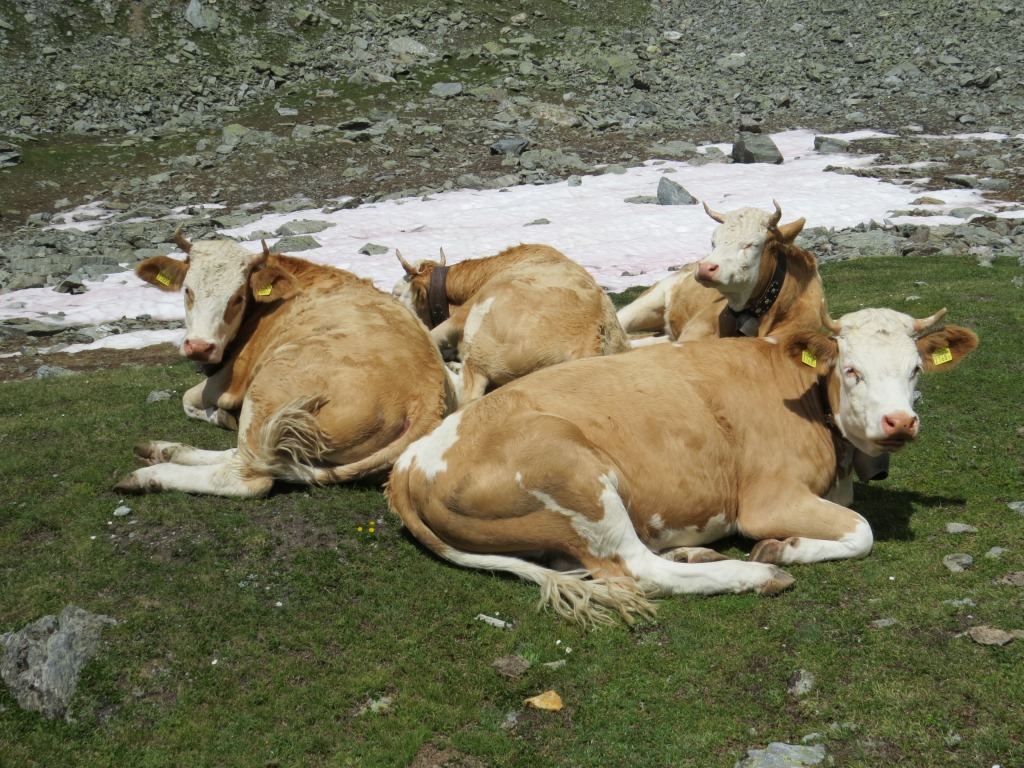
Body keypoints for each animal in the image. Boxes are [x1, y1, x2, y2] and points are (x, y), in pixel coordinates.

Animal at [113, 230, 455, 498]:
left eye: (237, 298)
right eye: (188, 290)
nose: (199, 346)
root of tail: (429, 396)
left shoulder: (231, 379)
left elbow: (188, 400)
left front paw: (220, 415)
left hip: (269, 383)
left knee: (247, 474)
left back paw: (149, 476)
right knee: (255, 455)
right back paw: (167, 449)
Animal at [386, 306, 978, 624]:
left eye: (915, 369)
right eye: (851, 370)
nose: (899, 422)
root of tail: (410, 462)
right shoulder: (768, 500)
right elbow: (862, 532)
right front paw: (784, 549)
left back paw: (697, 553)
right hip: (573, 473)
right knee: (637, 572)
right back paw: (754, 573)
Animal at [392, 244, 631, 407]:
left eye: (396, 293)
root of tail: (594, 335)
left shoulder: (463, 313)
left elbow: (431, 334)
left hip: (479, 328)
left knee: (467, 391)